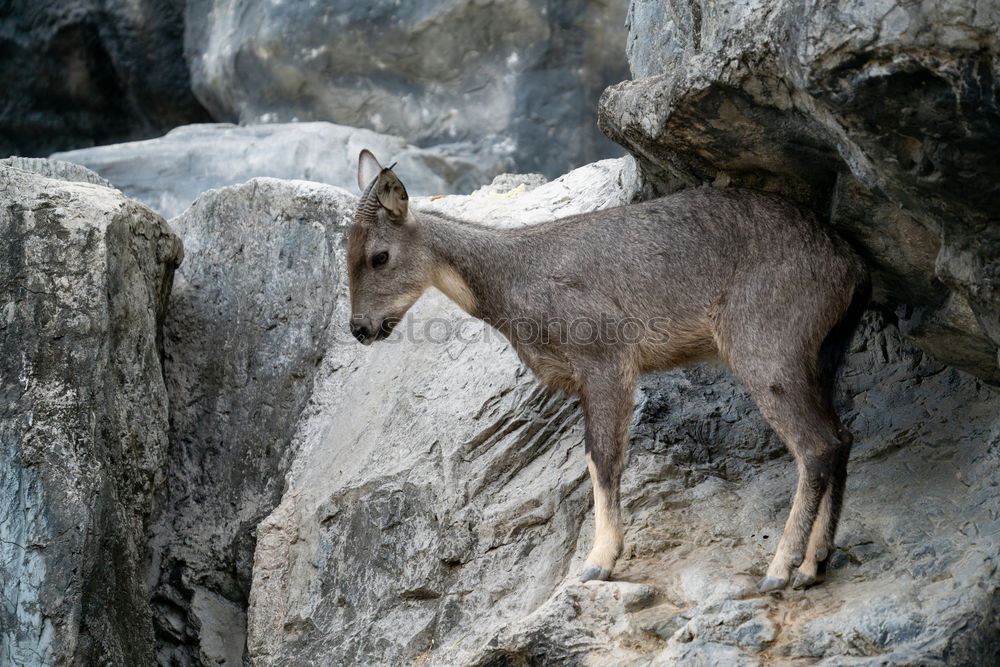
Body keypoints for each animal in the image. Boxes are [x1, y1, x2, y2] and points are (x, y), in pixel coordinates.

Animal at [346, 150, 868, 588]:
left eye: (379, 256)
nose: (360, 328)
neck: (512, 278)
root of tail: (849, 266)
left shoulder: (606, 358)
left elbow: (602, 456)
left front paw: (599, 561)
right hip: (816, 355)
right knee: (841, 437)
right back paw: (812, 565)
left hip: (766, 347)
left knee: (816, 445)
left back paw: (780, 569)